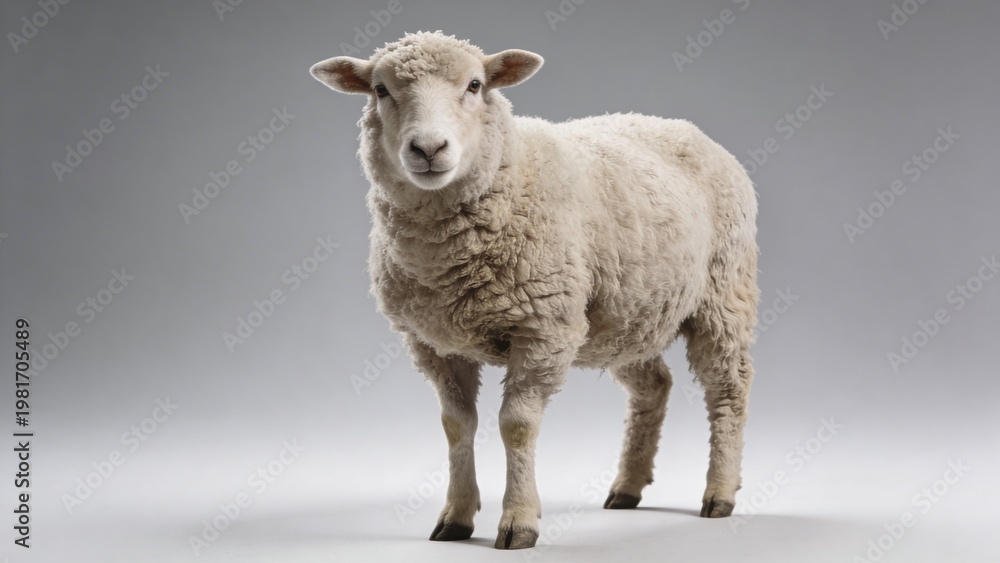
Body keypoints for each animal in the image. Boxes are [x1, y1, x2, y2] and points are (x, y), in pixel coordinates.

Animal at [310, 31, 759, 550]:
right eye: (380, 90)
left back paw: (719, 493)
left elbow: (517, 426)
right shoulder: (435, 344)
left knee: (727, 389)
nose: (428, 148)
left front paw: (519, 520)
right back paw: (627, 487)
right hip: (627, 313)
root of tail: (687, 129)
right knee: (654, 385)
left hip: (722, 295)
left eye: (475, 85)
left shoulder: (543, 328)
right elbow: (456, 426)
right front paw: (455, 517)